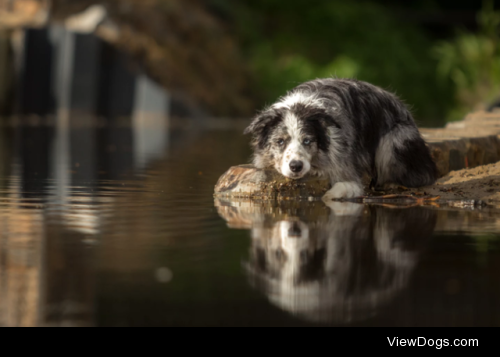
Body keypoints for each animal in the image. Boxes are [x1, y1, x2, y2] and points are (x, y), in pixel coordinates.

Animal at [245, 77, 438, 197]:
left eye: (307, 141)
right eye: (280, 141)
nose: (296, 166)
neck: (302, 105)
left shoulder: (346, 171)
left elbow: (334, 193)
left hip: (394, 141)